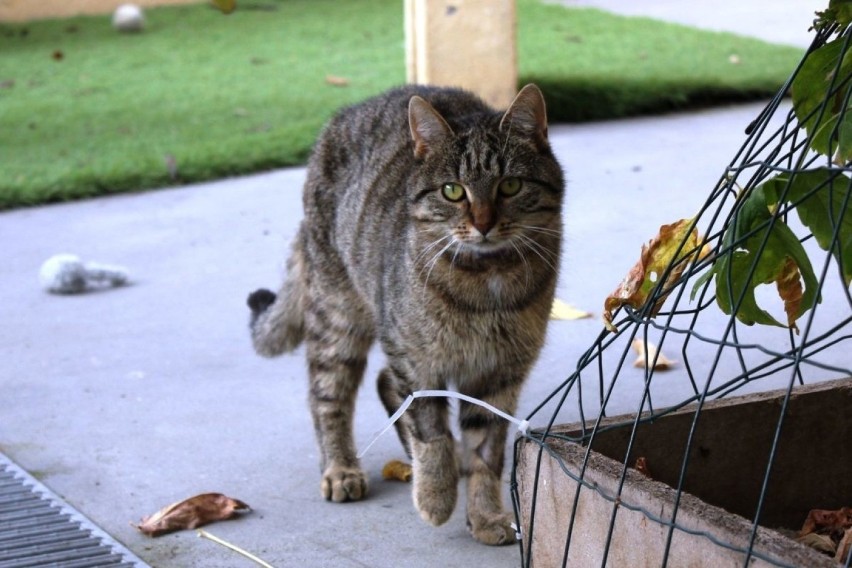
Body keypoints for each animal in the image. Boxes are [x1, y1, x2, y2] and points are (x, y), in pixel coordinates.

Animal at [248, 84, 564, 544]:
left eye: (510, 185)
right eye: (453, 191)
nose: (483, 223)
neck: (487, 283)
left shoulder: (500, 373)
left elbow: (486, 451)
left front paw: (484, 515)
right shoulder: (415, 361)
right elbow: (431, 431)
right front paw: (435, 495)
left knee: (384, 384)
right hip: (339, 317)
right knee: (327, 396)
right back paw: (340, 468)